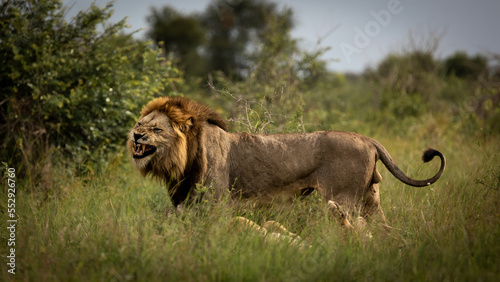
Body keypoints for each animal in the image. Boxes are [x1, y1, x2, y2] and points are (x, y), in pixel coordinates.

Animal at [128, 97, 446, 227]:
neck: (182, 158)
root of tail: (367, 139)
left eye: (157, 129)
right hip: (370, 198)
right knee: (383, 229)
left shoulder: (216, 203)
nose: (135, 134)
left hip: (343, 198)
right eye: (140, 123)